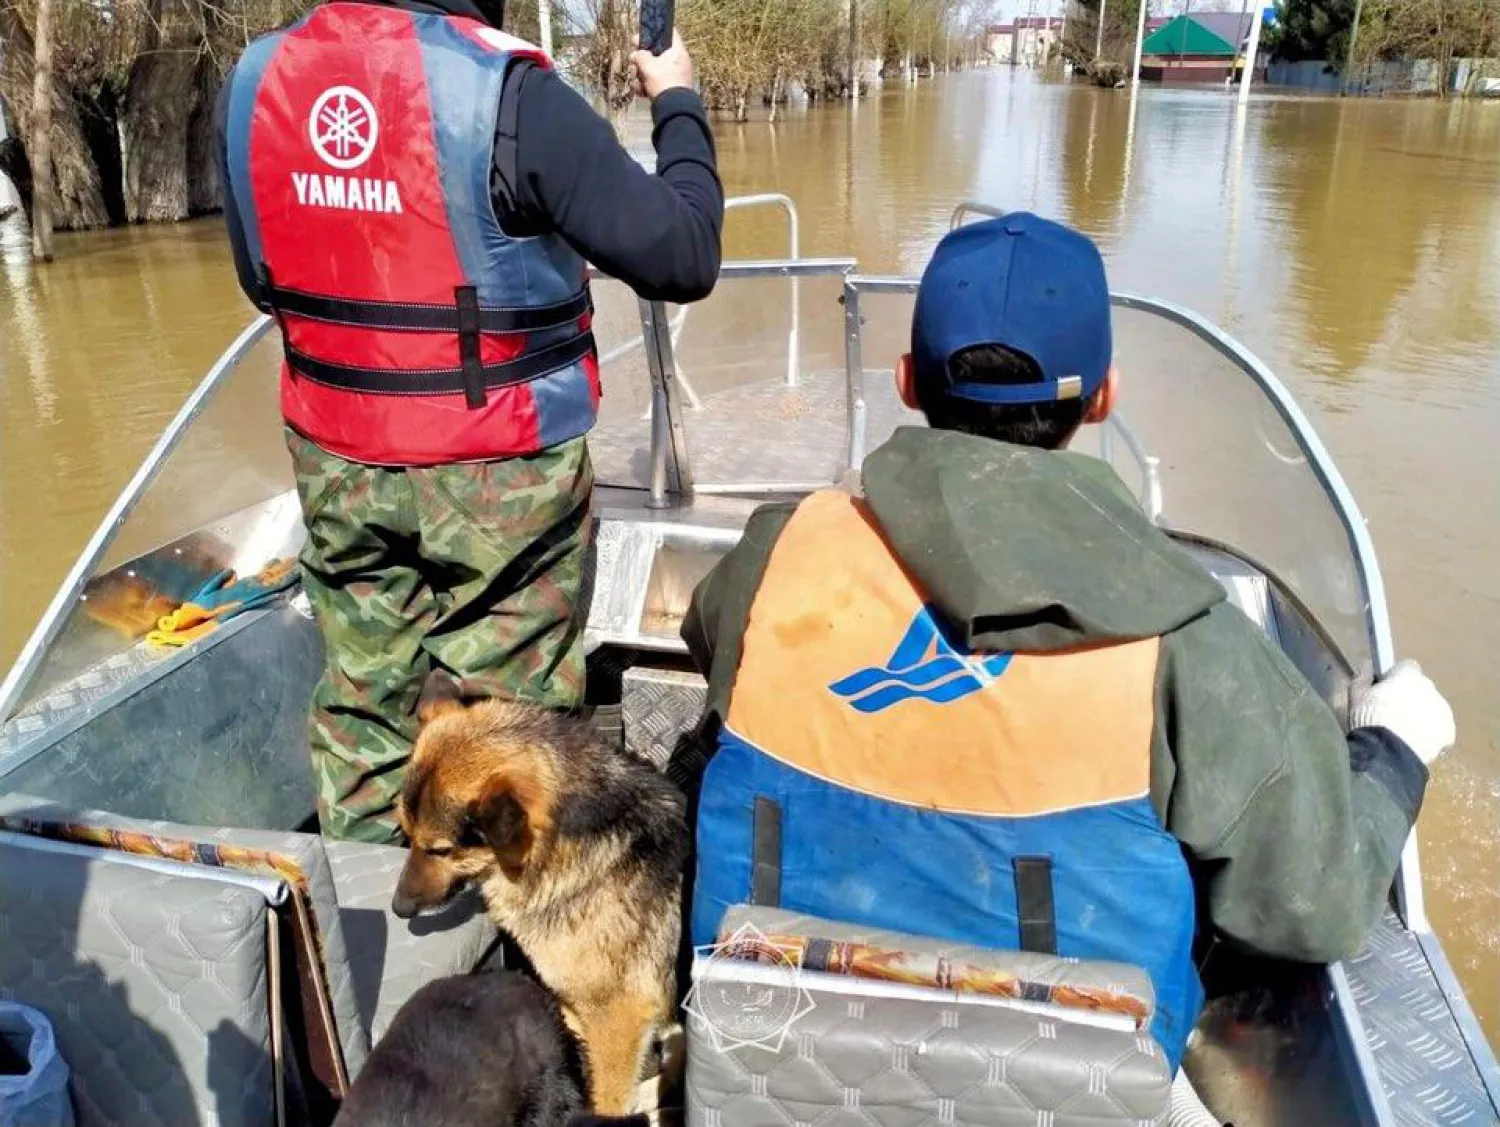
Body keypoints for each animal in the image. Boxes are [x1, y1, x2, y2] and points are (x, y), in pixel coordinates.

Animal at [390, 675, 687, 1116]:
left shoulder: (619, 1019)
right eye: (407, 835)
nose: (398, 908)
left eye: (440, 850)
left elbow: (607, 1097)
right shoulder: (577, 1009)